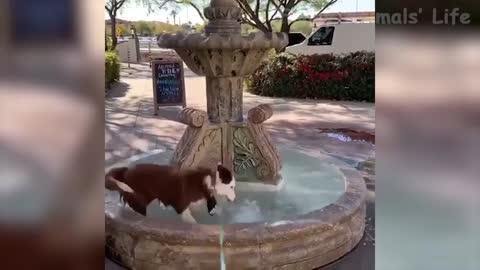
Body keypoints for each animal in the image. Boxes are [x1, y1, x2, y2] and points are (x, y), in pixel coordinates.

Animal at [104, 162, 235, 224]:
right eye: (232, 187)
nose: (234, 199)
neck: (207, 183)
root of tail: (126, 170)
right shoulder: (182, 208)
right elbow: (192, 221)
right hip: (139, 202)